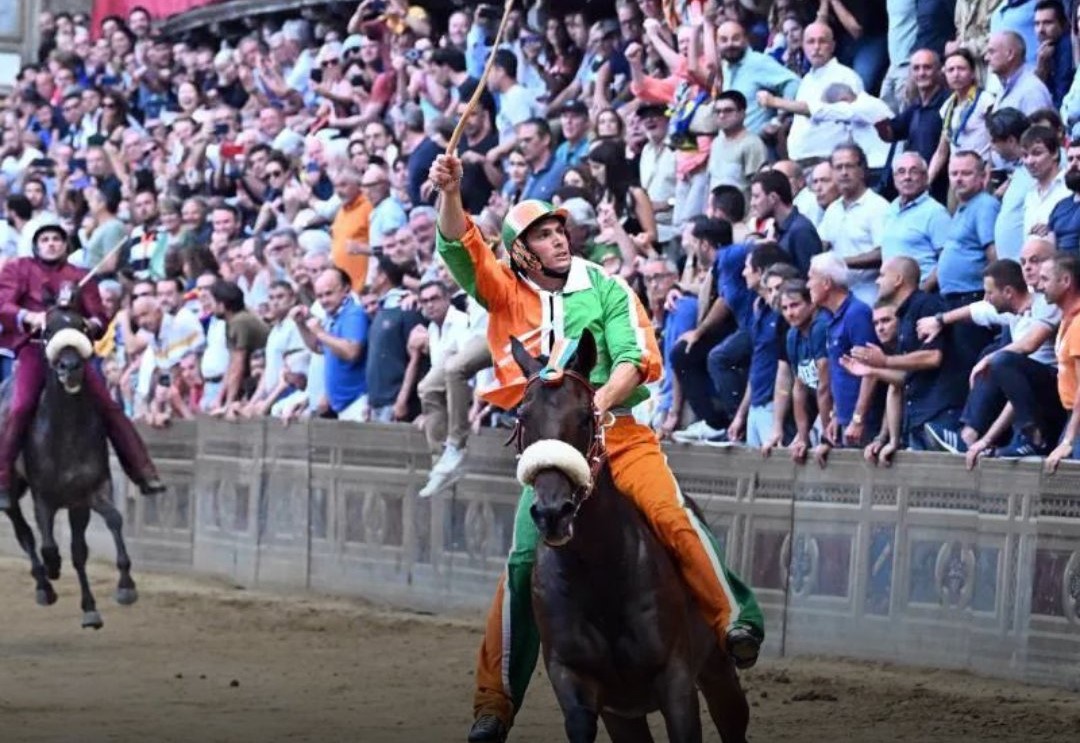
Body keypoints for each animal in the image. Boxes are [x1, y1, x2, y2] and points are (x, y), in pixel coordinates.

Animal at [0, 293, 137, 630]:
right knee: (24, 532)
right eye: (47, 330)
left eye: (83, 327)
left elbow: (109, 525)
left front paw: (121, 590)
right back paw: (44, 585)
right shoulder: (44, 498)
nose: (70, 366)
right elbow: (48, 544)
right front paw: (52, 567)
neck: (66, 433)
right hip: (11, 490)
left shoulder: (88, 493)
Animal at [507, 334, 747, 738]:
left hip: (717, 669)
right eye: (524, 416)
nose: (553, 512)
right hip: (623, 715)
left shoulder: (676, 680)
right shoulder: (575, 682)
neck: (601, 576)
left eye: (586, 416)